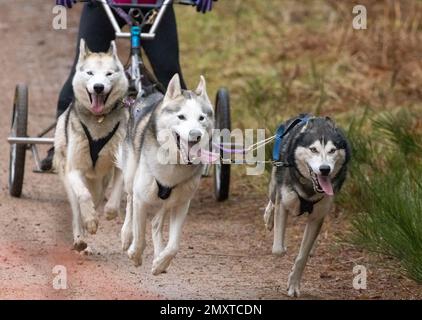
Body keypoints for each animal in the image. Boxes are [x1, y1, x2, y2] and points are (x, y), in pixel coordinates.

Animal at [53, 39, 129, 250]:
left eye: (109, 74)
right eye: (90, 73)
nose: (98, 87)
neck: (99, 119)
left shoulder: (120, 165)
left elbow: (116, 194)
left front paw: (109, 212)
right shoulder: (73, 170)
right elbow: (83, 197)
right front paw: (90, 221)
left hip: (100, 181)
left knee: (97, 195)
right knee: (78, 204)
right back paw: (81, 235)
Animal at [117, 73, 214, 276]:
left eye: (201, 118)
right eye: (181, 116)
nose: (196, 135)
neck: (173, 164)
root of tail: (148, 93)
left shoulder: (182, 204)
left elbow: (174, 245)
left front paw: (161, 262)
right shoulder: (141, 199)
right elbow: (139, 236)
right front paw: (135, 254)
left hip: (169, 200)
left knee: (155, 222)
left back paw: (159, 254)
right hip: (131, 176)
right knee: (129, 201)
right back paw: (126, 235)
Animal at [264, 114, 350, 296]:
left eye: (332, 150)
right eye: (313, 149)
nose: (325, 169)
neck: (309, 188)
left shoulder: (317, 217)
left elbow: (302, 256)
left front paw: (294, 283)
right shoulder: (284, 203)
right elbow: (278, 249)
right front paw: (282, 245)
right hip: (276, 183)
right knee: (272, 198)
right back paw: (268, 218)